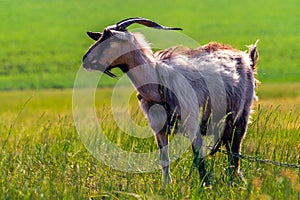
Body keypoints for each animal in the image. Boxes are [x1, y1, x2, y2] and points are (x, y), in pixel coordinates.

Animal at [82, 17, 258, 186]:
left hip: (241, 115)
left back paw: (235, 178)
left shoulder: (192, 123)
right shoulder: (158, 128)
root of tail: (247, 58)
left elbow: (198, 158)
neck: (157, 82)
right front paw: (166, 186)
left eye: (110, 39)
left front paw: (205, 185)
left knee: (235, 150)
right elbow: (164, 159)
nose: (85, 60)